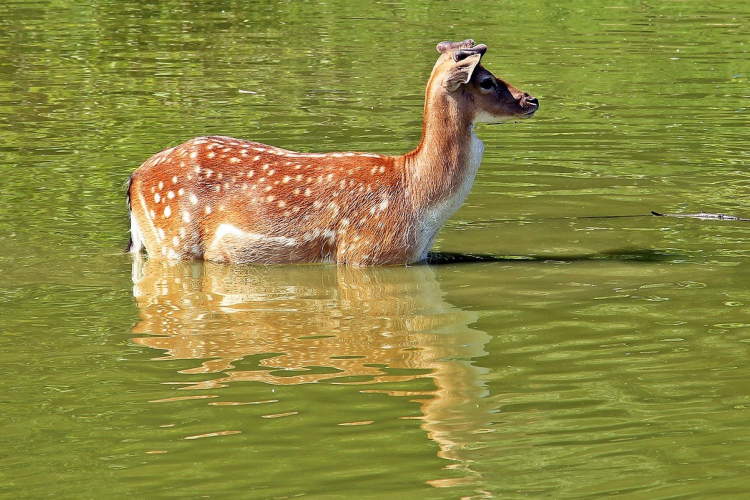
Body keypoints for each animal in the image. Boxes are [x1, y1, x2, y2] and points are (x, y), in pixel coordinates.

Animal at [129, 39, 540, 266]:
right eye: (486, 81)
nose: (531, 99)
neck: (419, 199)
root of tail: (134, 179)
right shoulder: (364, 254)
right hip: (174, 241)